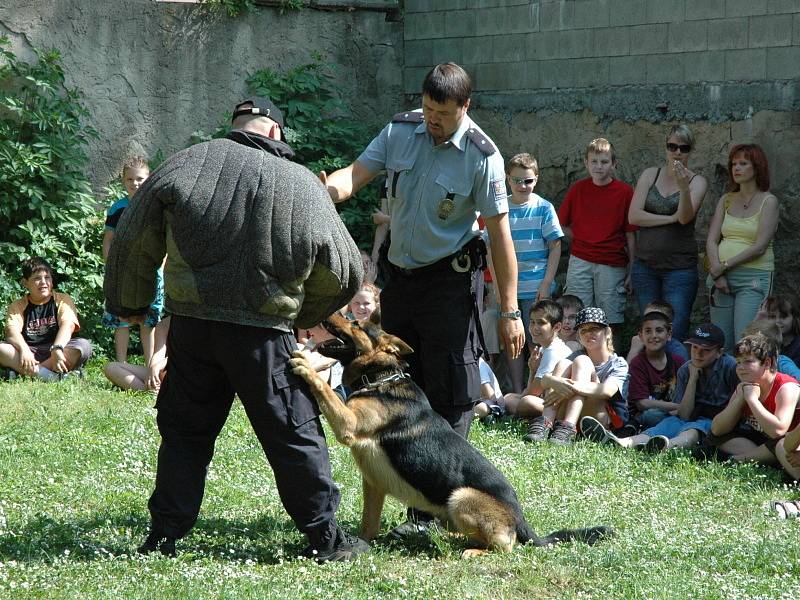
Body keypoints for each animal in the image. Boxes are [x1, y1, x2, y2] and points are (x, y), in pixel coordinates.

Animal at [290, 314, 608, 556]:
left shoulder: (349, 424)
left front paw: (306, 365)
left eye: (355, 323)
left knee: (505, 546)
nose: (328, 314)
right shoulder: (373, 482)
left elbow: (327, 390)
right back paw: (444, 537)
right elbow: (369, 524)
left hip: (461, 497)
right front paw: (361, 544)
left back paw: (472, 550)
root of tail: (520, 519)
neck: (380, 378)